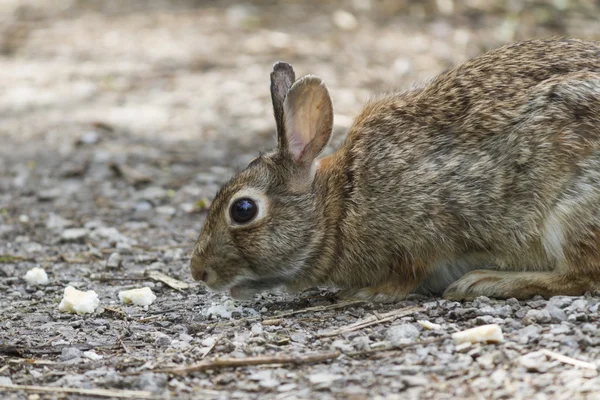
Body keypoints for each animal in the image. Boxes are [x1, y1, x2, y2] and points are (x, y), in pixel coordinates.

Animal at [189, 37, 600, 302]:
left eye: (243, 210)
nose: (197, 271)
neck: (339, 207)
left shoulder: (423, 229)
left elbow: (406, 275)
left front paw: (366, 292)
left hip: (570, 212)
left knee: (581, 275)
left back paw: (484, 283)